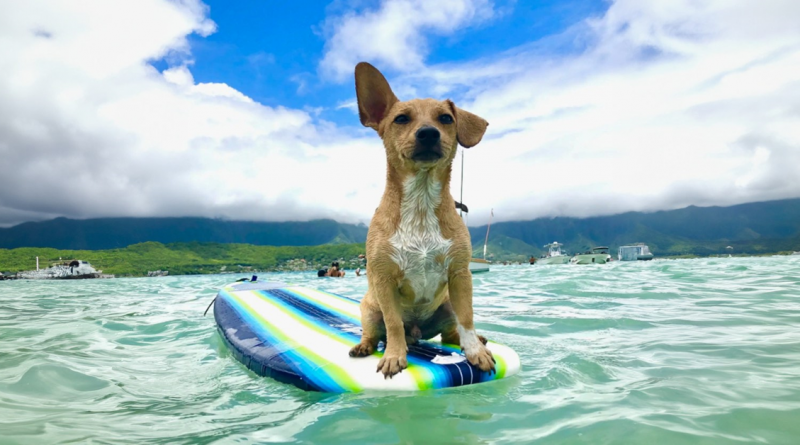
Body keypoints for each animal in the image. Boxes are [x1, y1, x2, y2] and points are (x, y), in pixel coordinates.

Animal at [348, 60, 494, 376]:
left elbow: (468, 318)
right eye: (401, 119)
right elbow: (392, 324)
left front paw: (476, 352)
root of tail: (416, 332)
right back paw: (365, 346)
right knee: (375, 333)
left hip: (447, 305)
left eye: (446, 118)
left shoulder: (460, 275)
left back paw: (474, 341)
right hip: (369, 307)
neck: (421, 201)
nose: (428, 133)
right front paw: (394, 356)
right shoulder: (384, 279)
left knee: (452, 334)